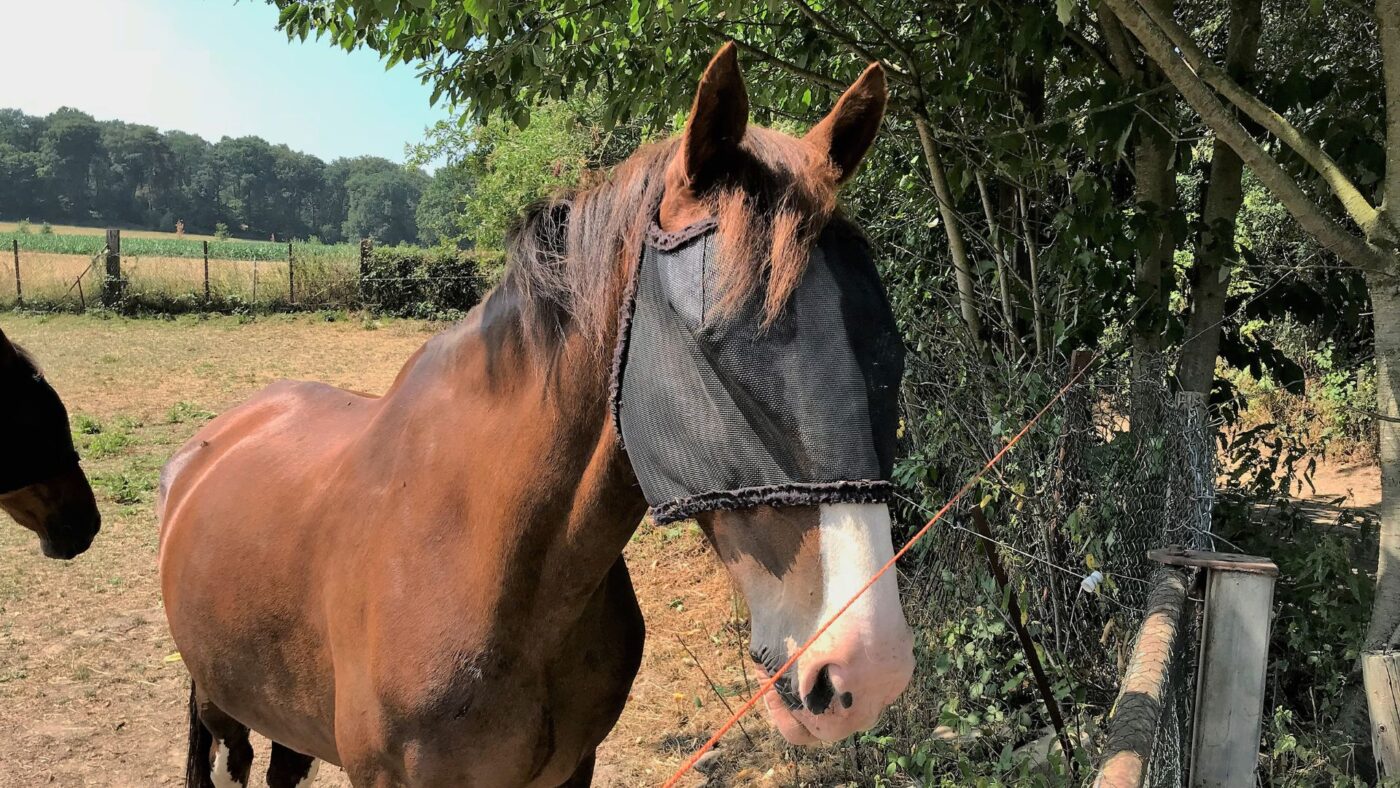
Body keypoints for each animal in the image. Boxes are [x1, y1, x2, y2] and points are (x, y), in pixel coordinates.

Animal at [158, 43, 914, 787]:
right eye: (713, 338)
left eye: (889, 346)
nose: (866, 665)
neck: (488, 561)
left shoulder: (572, 768)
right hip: (221, 706)